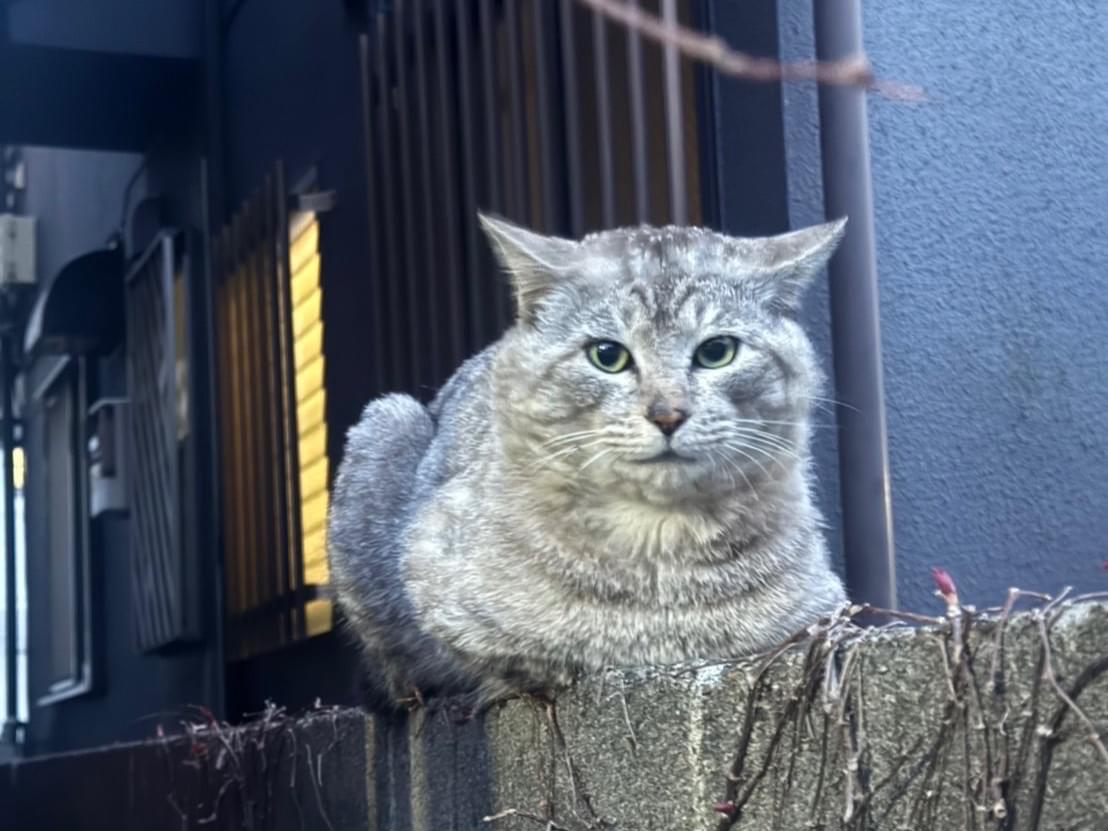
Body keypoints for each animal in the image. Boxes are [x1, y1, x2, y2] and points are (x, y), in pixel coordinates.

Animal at [328, 214, 848, 711]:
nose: (667, 414)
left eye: (717, 351)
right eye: (607, 355)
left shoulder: (822, 613)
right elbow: (515, 661)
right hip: (388, 419)